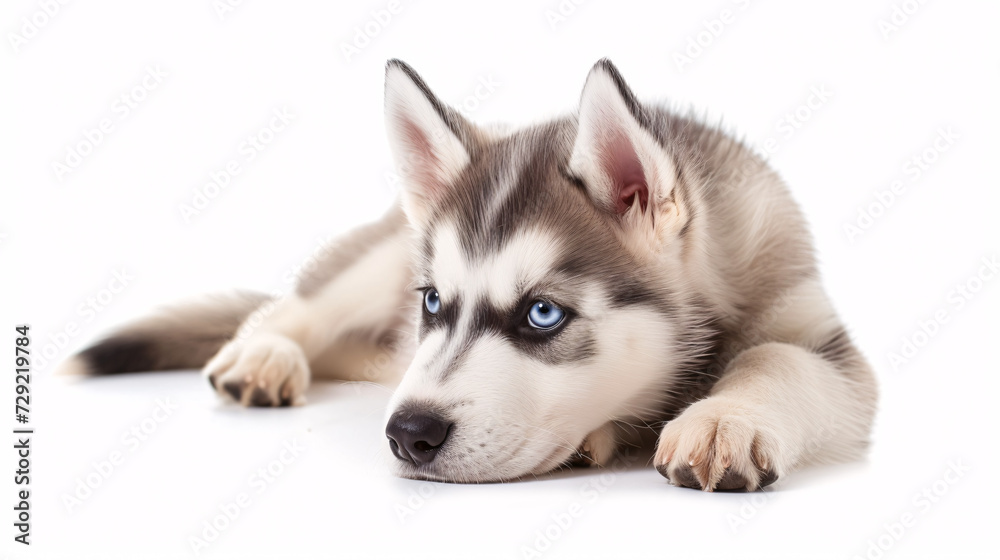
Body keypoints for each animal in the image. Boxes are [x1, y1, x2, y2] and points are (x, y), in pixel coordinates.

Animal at [62, 59, 876, 492]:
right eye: (433, 302)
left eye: (542, 315)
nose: (407, 433)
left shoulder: (824, 340)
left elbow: (778, 357)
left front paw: (723, 418)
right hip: (379, 256)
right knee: (299, 304)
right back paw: (263, 354)